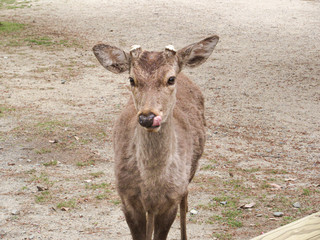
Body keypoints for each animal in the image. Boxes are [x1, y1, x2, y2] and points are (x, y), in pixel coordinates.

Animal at [91, 35, 219, 240]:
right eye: (131, 79)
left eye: (170, 78)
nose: (147, 117)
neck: (152, 186)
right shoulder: (127, 199)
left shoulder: (170, 202)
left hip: (190, 172)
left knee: (185, 201)